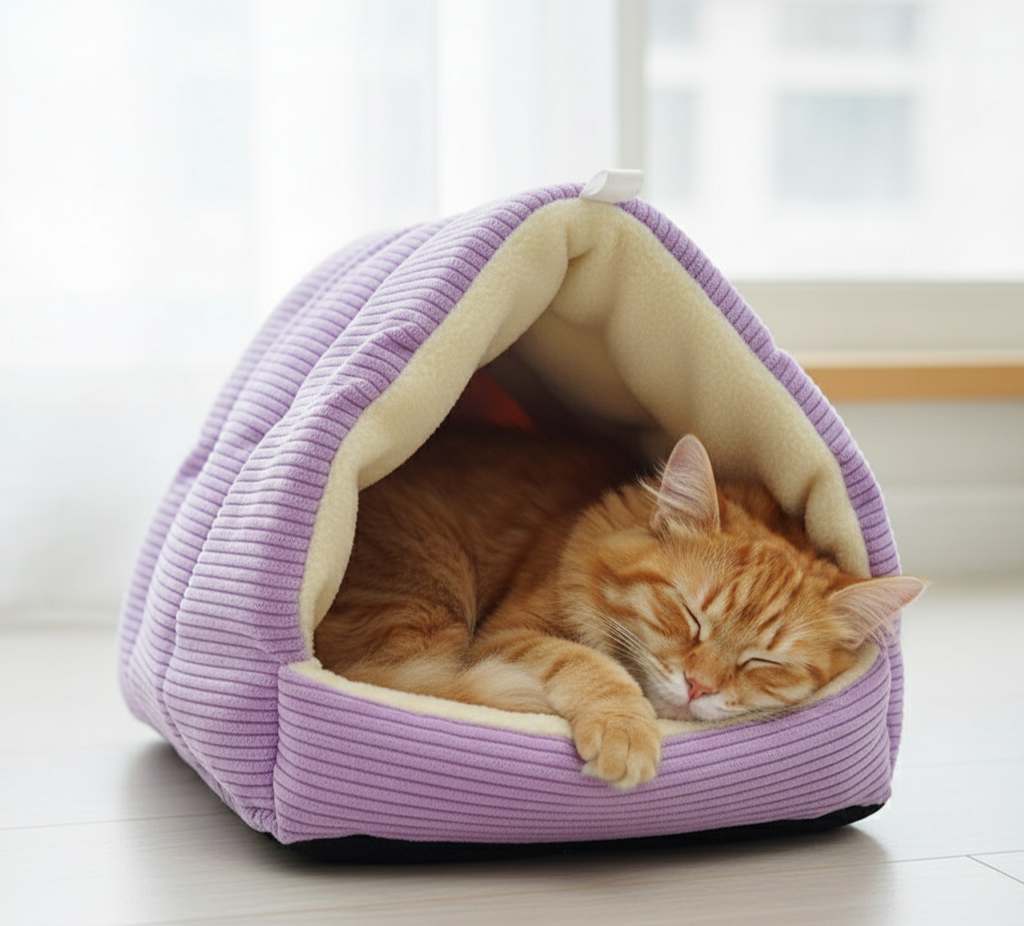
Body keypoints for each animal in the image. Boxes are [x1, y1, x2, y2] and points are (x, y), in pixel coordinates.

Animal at [314, 424, 925, 790]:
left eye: (765, 662)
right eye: (690, 615)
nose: (699, 687)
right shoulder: (508, 633)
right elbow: (591, 662)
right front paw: (626, 731)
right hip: (432, 592)